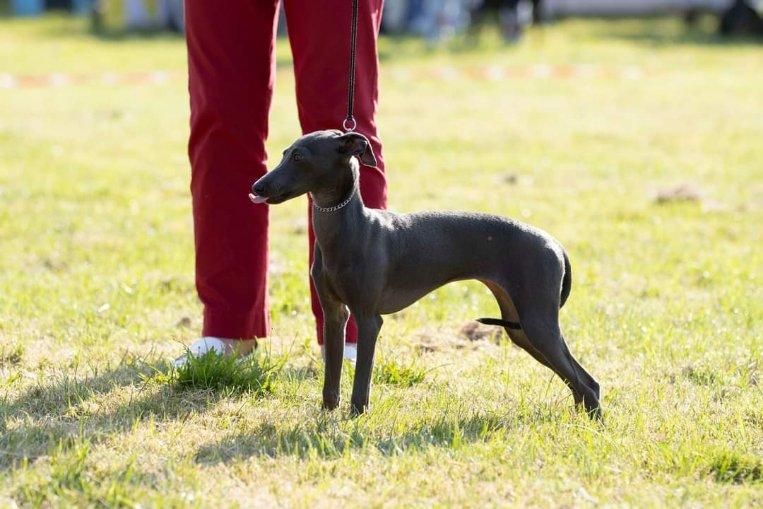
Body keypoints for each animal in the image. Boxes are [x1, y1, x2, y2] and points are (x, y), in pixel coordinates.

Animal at [251, 130, 604, 416]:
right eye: (284, 153)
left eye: (299, 156)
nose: (257, 187)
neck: (350, 227)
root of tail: (554, 243)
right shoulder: (335, 314)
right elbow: (331, 377)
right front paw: (327, 414)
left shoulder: (368, 318)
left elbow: (362, 378)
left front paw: (356, 416)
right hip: (521, 328)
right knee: (581, 382)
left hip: (537, 323)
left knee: (588, 383)